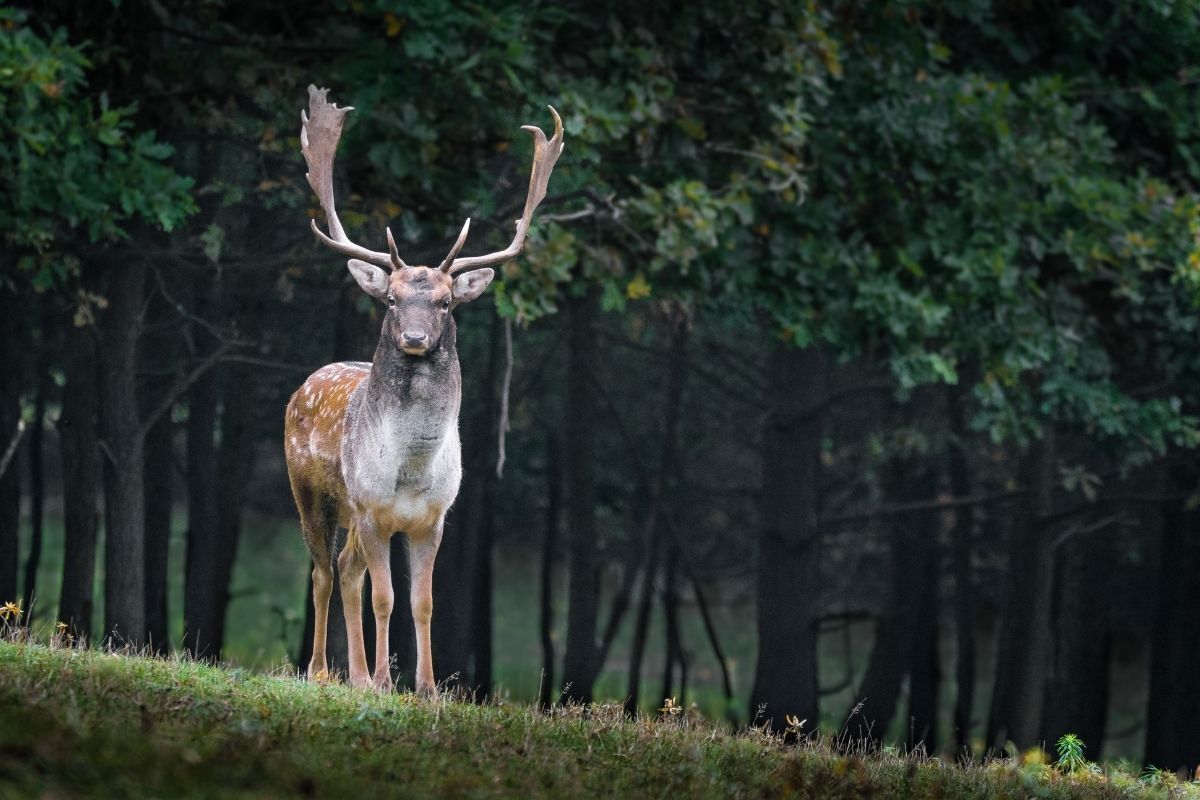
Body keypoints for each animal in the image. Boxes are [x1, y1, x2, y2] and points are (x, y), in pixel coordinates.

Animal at [285, 86, 561, 695]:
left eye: (445, 302)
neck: (410, 471)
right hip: (311, 493)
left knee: (345, 571)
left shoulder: (433, 519)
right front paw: (386, 682)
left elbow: (423, 602)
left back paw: (355, 675)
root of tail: (304, 385)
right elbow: (385, 598)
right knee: (322, 572)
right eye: (390, 299)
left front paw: (427, 687)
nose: (413, 337)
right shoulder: (372, 510)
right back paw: (322, 671)